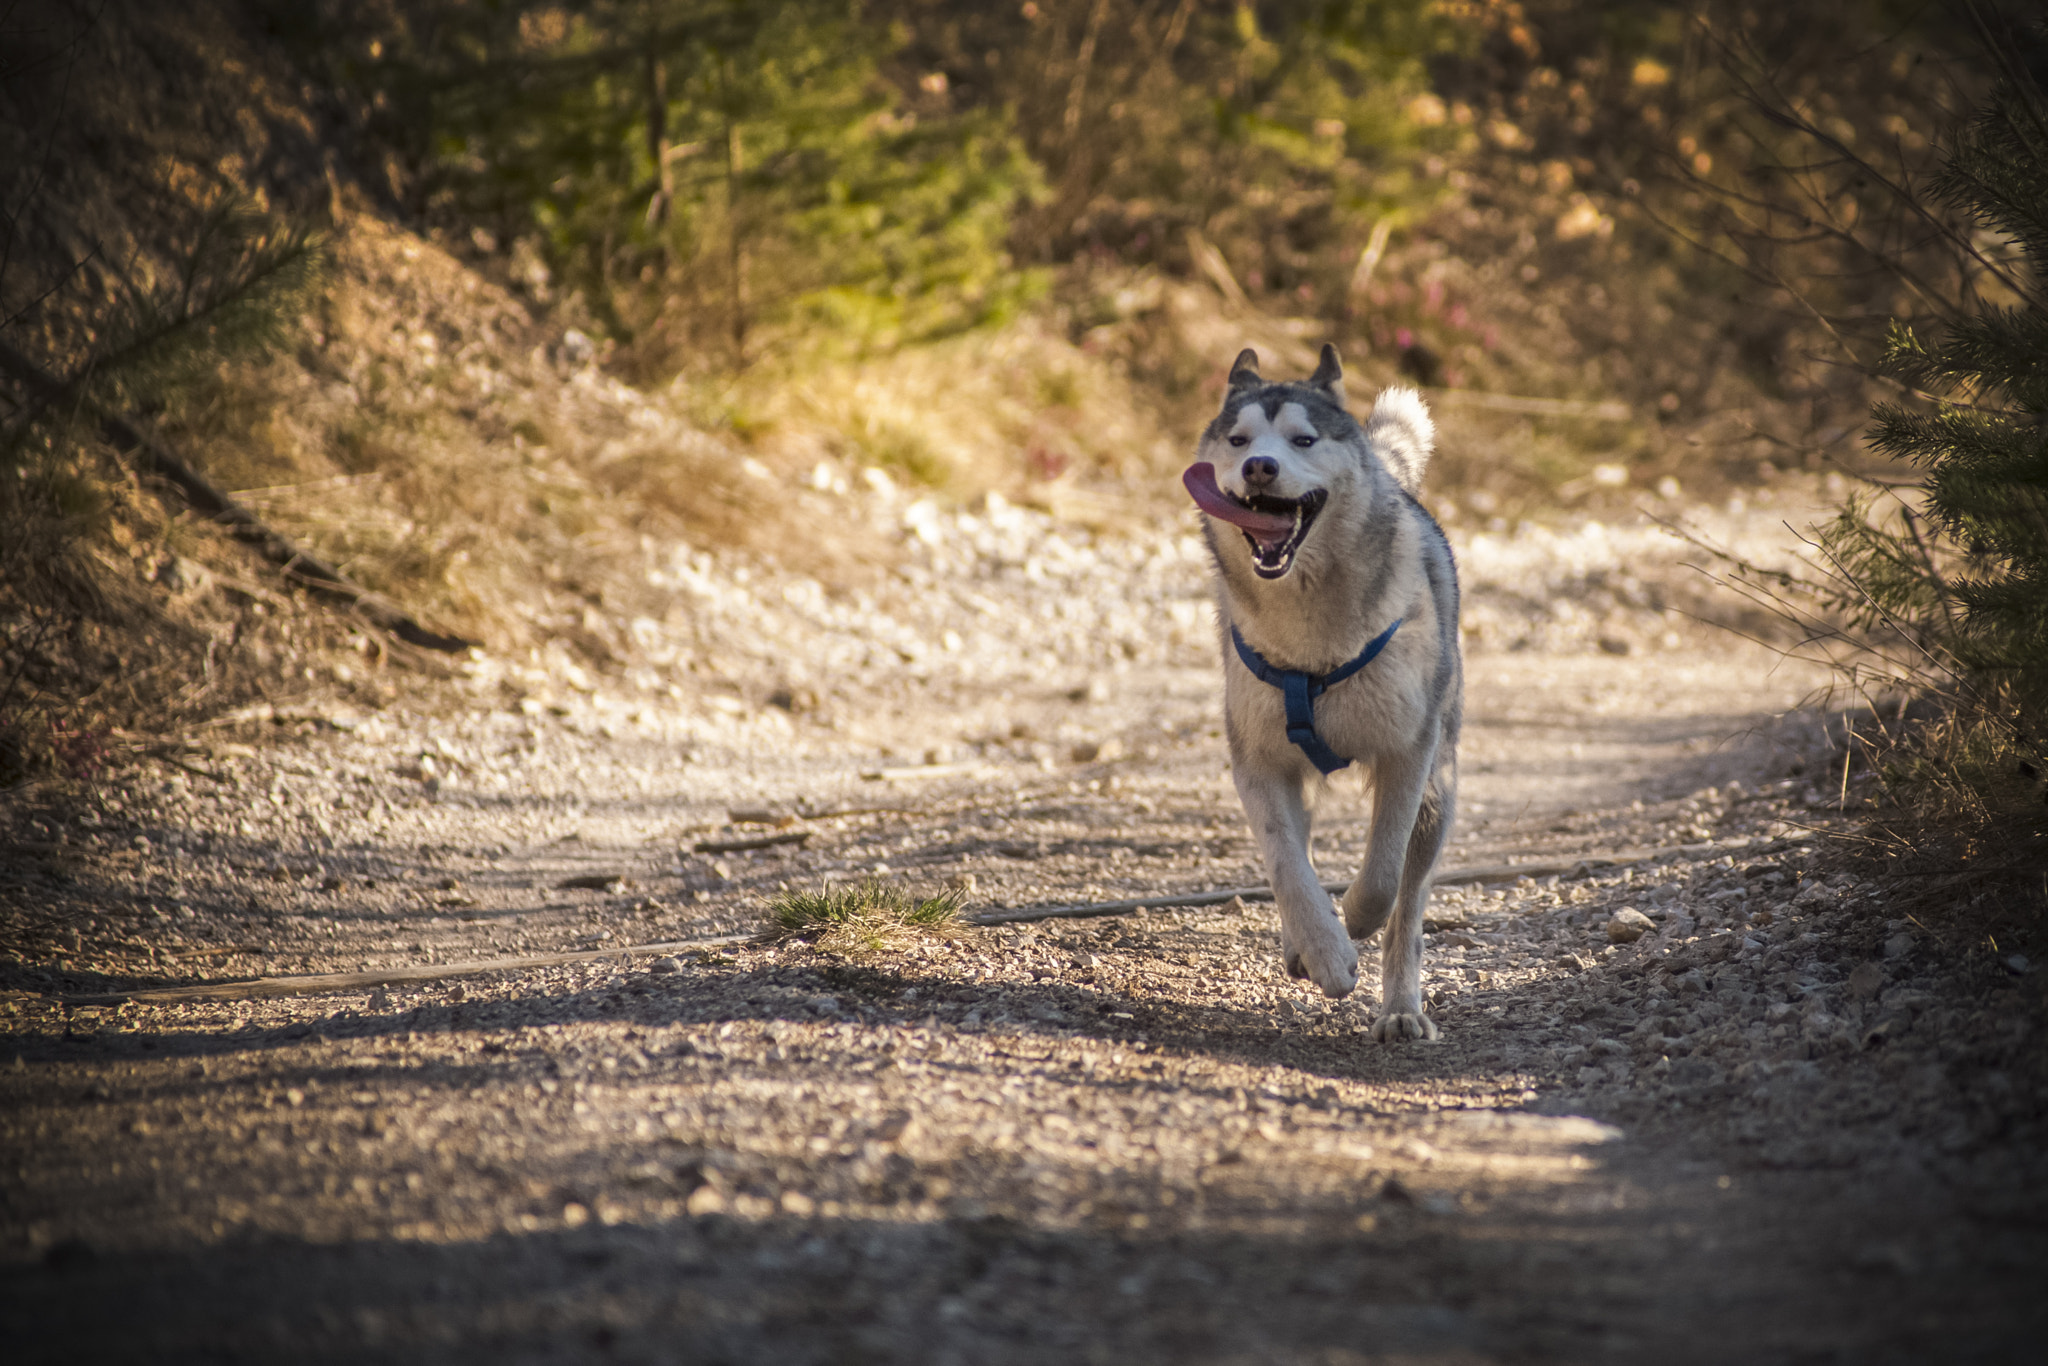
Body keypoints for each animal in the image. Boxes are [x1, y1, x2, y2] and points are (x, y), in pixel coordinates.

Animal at [1187, 348, 1458, 1040]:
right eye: (1239, 440)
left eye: (1303, 440)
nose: (1260, 467)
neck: (1310, 642)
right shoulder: (1257, 763)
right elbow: (1287, 866)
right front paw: (1327, 952)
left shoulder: (1408, 753)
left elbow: (1384, 872)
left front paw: (1356, 918)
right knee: (1299, 851)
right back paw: (1301, 947)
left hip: (1441, 790)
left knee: (1409, 907)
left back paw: (1400, 1010)